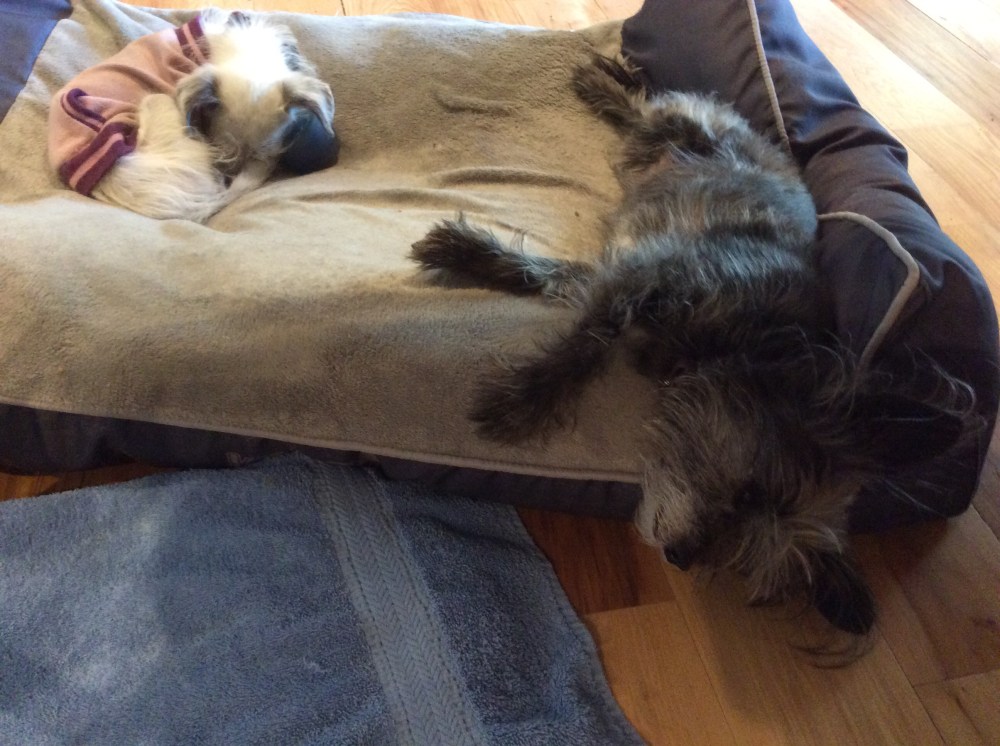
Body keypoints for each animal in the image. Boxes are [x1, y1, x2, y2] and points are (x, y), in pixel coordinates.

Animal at [410, 56, 976, 637]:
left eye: (748, 558)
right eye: (752, 490)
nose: (680, 557)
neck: (744, 342)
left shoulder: (619, 273)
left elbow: (556, 280)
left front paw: (472, 257)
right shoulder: (648, 275)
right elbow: (584, 345)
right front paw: (521, 400)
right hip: (685, 129)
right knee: (649, 106)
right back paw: (599, 83)